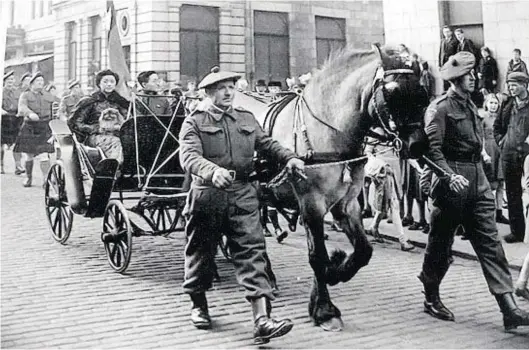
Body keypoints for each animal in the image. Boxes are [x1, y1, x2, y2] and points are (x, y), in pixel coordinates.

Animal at [239, 45, 428, 332]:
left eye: (422, 93)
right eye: (392, 91)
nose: (418, 146)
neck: (327, 131)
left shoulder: (346, 204)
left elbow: (362, 251)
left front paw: (335, 271)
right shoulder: (311, 204)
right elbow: (317, 257)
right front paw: (325, 308)